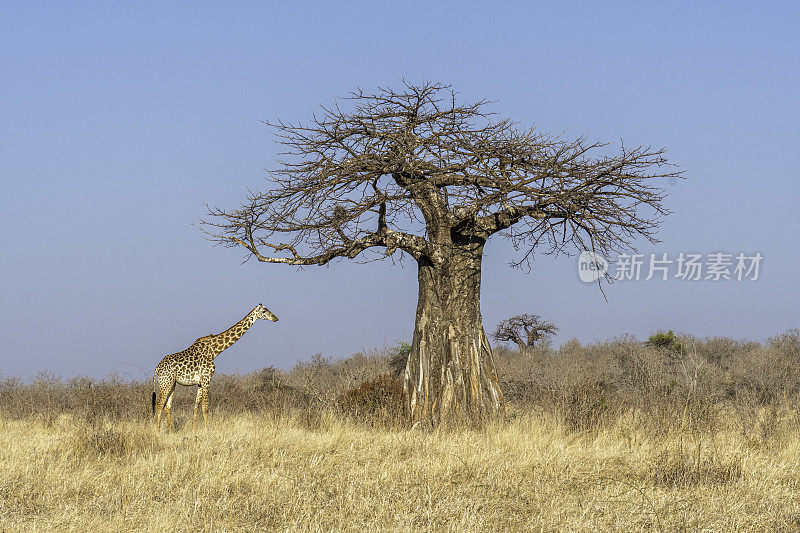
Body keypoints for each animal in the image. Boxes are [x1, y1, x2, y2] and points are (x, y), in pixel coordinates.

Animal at [152, 302, 280, 430]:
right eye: (264, 311)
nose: (275, 318)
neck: (214, 351)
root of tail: (157, 368)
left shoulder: (200, 382)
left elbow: (196, 407)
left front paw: (193, 430)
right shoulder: (207, 378)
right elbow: (205, 407)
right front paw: (206, 430)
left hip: (172, 383)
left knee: (167, 406)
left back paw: (170, 431)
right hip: (165, 382)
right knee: (159, 404)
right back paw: (158, 431)